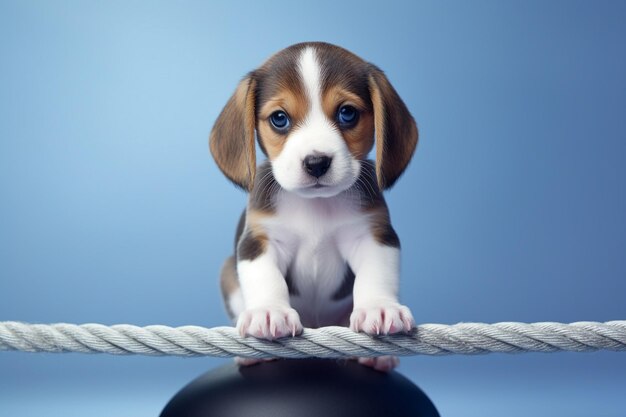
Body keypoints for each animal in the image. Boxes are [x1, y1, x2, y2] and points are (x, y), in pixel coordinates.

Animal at [211, 42, 420, 370]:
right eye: (279, 118)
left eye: (347, 113)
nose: (317, 162)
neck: (315, 206)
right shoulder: (259, 240)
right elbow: (265, 278)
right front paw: (268, 311)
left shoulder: (372, 235)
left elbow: (376, 274)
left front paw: (380, 308)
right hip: (227, 275)